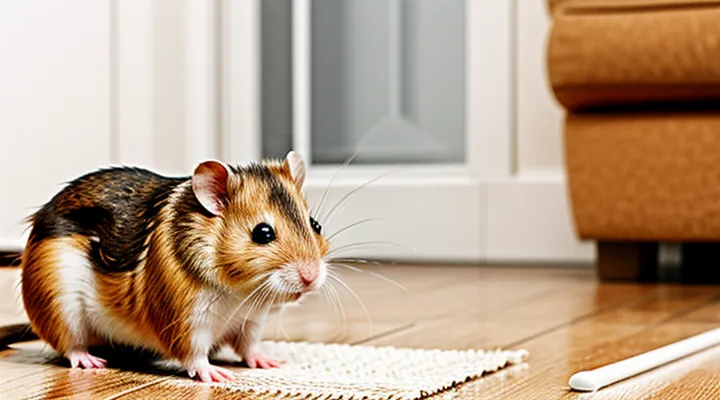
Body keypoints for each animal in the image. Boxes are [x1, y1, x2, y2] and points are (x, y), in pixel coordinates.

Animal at [19, 151, 329, 382]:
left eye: (315, 225)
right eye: (262, 233)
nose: (311, 278)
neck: (237, 293)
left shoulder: (250, 320)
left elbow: (250, 346)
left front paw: (270, 361)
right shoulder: (185, 319)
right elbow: (195, 354)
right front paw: (216, 374)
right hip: (60, 307)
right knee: (69, 345)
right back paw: (90, 361)